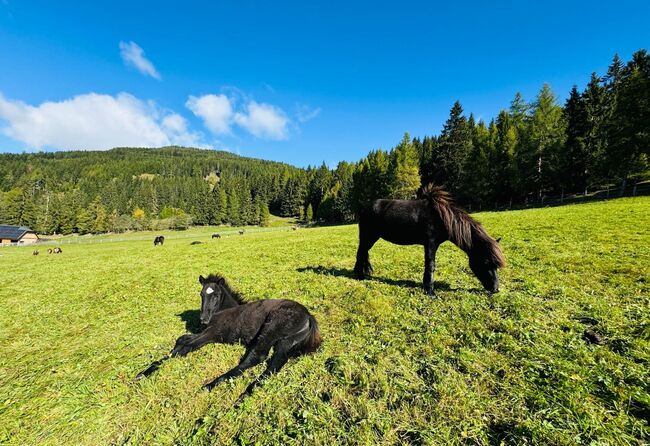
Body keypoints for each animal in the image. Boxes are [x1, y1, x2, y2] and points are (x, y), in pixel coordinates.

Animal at [135, 274, 320, 406]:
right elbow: (181, 340)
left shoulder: (212, 334)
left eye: (216, 295)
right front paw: (144, 373)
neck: (221, 312)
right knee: (275, 364)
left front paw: (148, 371)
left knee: (257, 356)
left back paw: (214, 385)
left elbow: (187, 347)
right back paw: (247, 392)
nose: (203, 319)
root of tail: (308, 316)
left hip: (270, 329)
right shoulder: (205, 331)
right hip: (285, 342)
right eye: (201, 294)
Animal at [352, 185, 504, 296]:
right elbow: (430, 265)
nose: (496, 289)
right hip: (368, 237)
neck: (442, 218)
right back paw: (360, 276)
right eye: (485, 262)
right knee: (361, 253)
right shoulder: (430, 244)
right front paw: (430, 291)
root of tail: (365, 208)